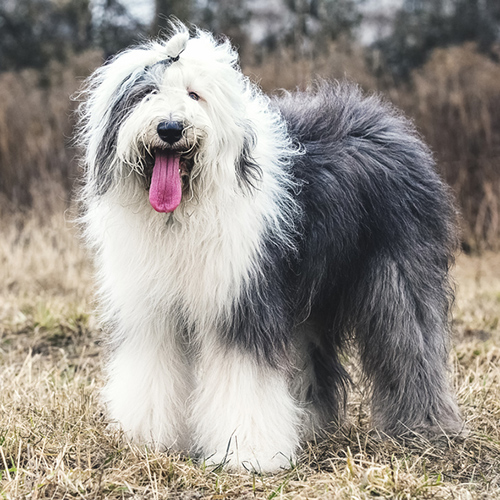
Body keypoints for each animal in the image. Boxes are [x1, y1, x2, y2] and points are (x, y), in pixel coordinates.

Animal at [76, 20, 462, 472]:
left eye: (194, 94)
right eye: (147, 93)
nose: (170, 129)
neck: (183, 212)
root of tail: (388, 121)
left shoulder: (242, 300)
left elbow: (244, 378)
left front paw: (247, 454)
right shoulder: (153, 311)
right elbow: (152, 370)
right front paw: (150, 440)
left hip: (398, 273)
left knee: (411, 343)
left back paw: (424, 428)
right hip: (310, 294)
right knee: (314, 357)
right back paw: (308, 424)